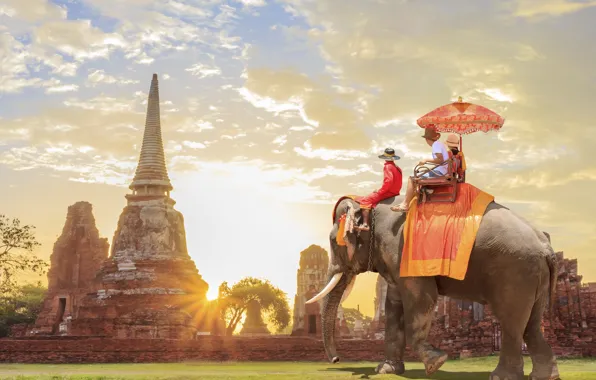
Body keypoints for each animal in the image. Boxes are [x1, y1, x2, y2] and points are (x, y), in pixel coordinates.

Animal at [310, 196, 560, 380]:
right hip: (534, 276)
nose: (336, 360)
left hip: (514, 272)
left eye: (333, 242)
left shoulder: (402, 250)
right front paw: (386, 370)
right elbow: (393, 305)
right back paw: (546, 376)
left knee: (511, 323)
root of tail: (546, 246)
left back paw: (501, 377)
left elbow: (422, 298)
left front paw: (435, 363)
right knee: (532, 324)